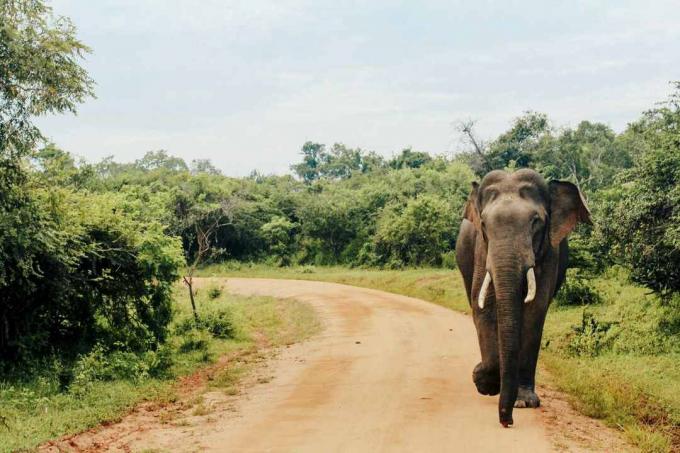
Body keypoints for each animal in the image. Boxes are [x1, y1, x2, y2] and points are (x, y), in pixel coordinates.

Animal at [454, 168, 592, 426]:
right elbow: (483, 309)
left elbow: (534, 312)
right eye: (484, 224)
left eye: (535, 221)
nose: (506, 421)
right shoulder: (482, 250)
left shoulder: (549, 252)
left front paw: (524, 402)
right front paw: (484, 382)